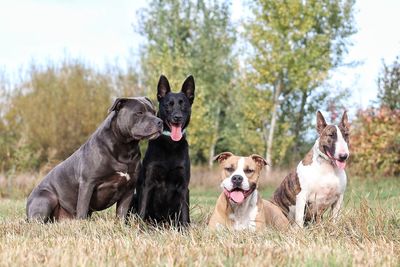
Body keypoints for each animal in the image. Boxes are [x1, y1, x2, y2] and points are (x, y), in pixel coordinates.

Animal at [26, 97, 162, 223]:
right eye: (139, 113)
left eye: (154, 112)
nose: (160, 122)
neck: (125, 148)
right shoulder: (87, 184)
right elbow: (82, 209)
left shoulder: (129, 189)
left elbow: (121, 214)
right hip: (46, 198)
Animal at [133, 75, 195, 226]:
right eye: (168, 104)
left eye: (183, 104)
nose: (177, 117)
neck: (170, 145)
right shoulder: (147, 184)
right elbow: (142, 210)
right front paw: (138, 228)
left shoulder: (184, 187)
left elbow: (185, 214)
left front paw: (185, 229)